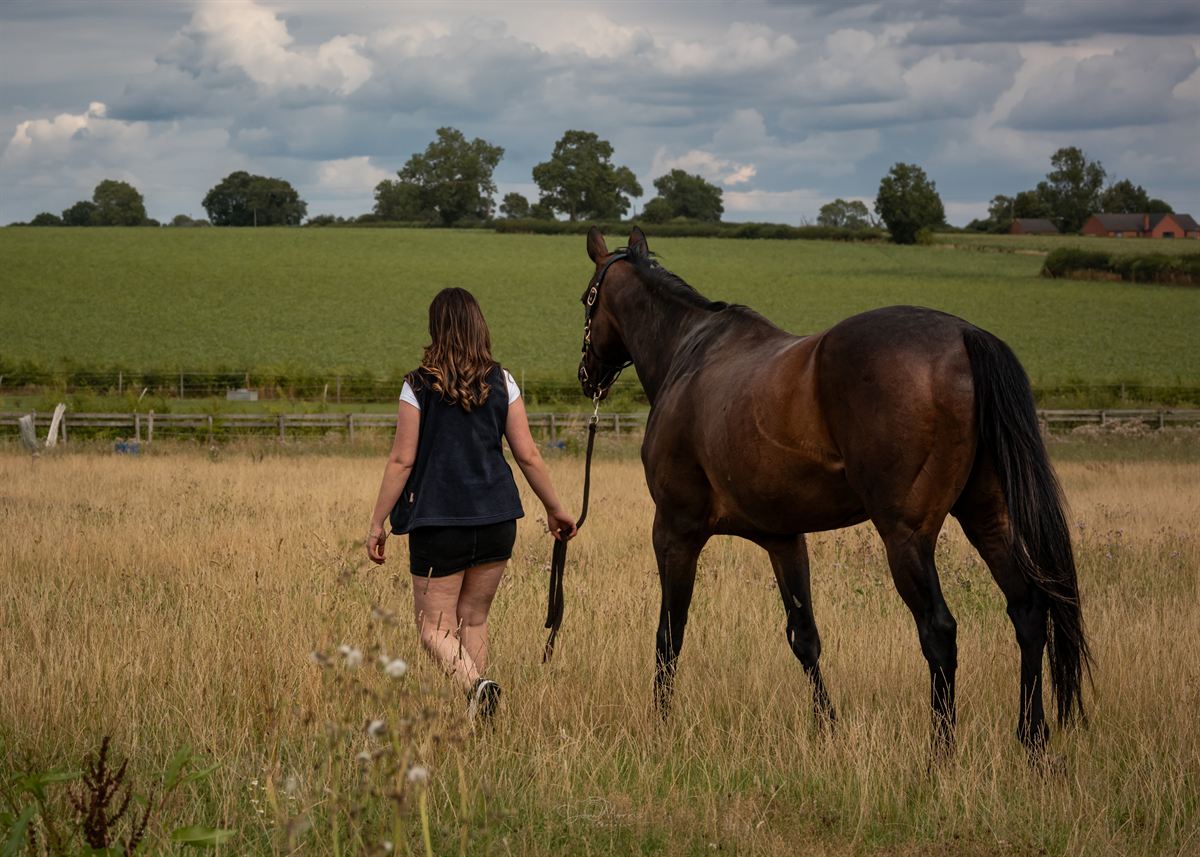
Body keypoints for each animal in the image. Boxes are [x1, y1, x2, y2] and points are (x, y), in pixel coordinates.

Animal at [575, 226, 1090, 758]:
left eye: (585, 300)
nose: (586, 375)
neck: (689, 354)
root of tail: (966, 338)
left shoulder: (675, 532)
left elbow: (669, 635)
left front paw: (660, 727)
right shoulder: (783, 539)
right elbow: (805, 637)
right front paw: (827, 728)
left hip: (906, 536)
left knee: (940, 631)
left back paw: (940, 754)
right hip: (987, 517)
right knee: (1028, 609)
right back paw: (1032, 740)